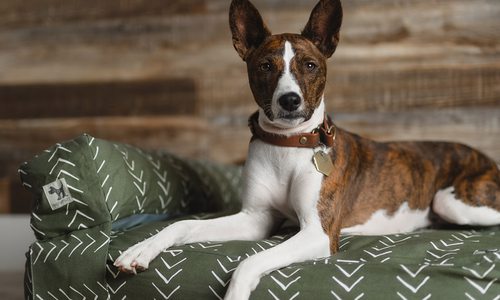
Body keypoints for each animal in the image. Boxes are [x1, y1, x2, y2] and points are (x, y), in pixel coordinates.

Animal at [114, 0, 500, 298]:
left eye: (310, 66)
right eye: (265, 66)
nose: (289, 100)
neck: (288, 144)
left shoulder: (318, 232)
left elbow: (249, 260)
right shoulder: (255, 219)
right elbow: (183, 225)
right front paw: (139, 250)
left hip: (452, 200)